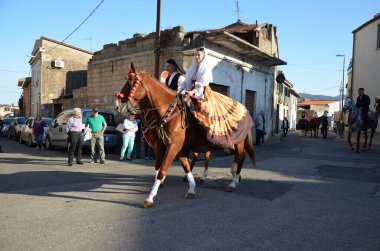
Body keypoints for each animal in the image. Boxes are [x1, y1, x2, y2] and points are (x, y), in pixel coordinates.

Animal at [116, 63, 256, 208]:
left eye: (131, 82)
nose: (118, 103)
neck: (169, 113)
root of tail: (245, 109)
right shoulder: (167, 146)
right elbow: (177, 166)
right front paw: (191, 188)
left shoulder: (173, 146)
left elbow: (162, 170)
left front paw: (150, 197)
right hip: (227, 143)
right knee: (235, 156)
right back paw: (233, 176)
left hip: (237, 142)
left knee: (239, 157)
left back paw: (233, 182)